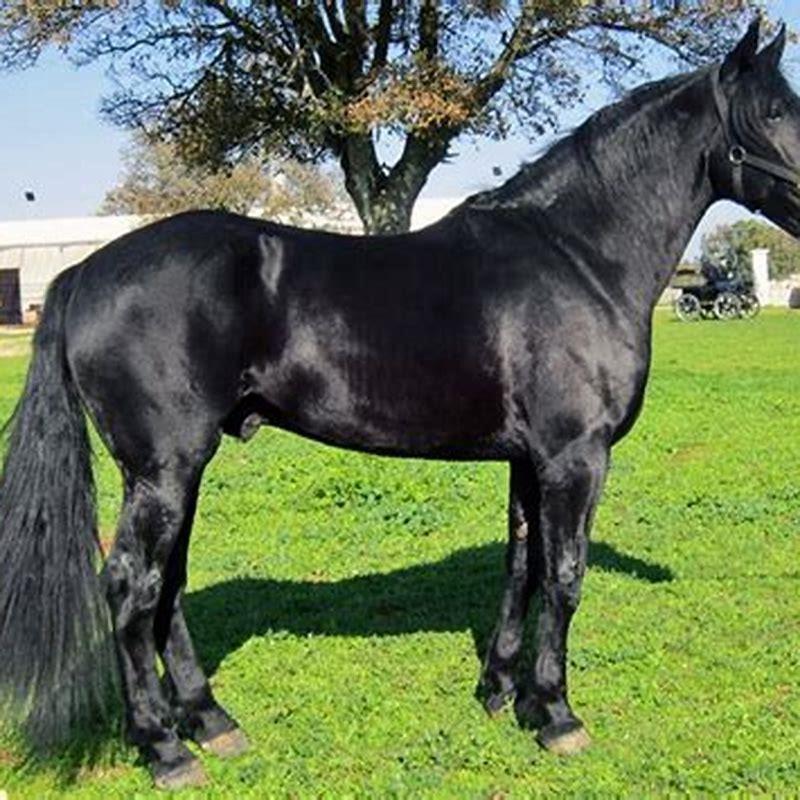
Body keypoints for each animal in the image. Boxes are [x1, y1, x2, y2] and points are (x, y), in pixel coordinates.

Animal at [1, 18, 798, 789]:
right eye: (773, 112)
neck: (577, 256)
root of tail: (84, 272)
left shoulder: (529, 460)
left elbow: (522, 566)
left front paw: (501, 692)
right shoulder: (575, 458)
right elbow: (566, 576)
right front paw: (557, 715)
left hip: (177, 473)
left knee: (166, 588)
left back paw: (212, 722)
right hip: (162, 472)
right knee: (131, 590)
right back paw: (166, 749)